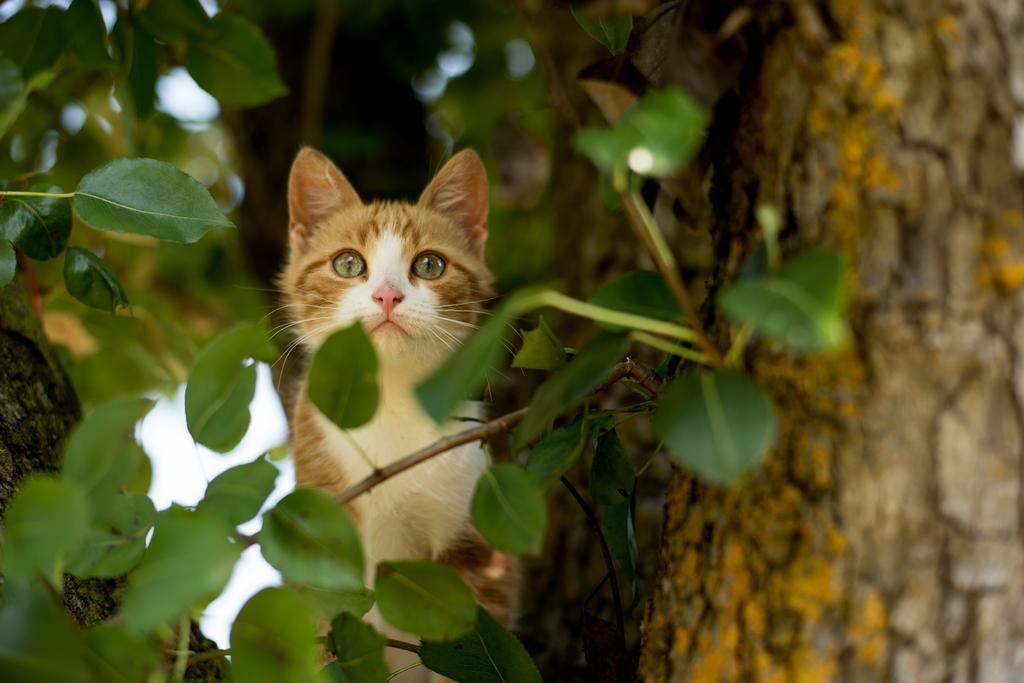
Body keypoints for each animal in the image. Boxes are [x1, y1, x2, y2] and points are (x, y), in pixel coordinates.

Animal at [280, 148, 520, 679]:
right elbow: (321, 621)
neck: (388, 404)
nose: (387, 295)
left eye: (429, 265)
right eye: (348, 263)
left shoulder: (473, 541)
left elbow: (468, 638)